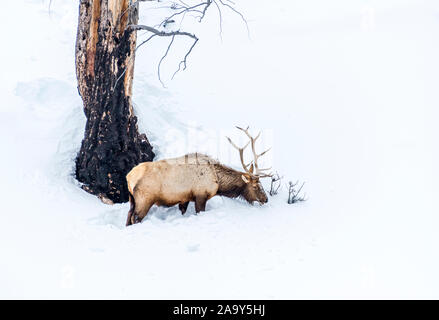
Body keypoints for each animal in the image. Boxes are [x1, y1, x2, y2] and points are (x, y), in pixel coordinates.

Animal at [125, 125, 274, 225]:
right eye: (255, 186)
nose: (266, 199)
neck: (218, 182)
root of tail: (129, 177)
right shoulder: (201, 195)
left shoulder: (184, 198)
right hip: (144, 199)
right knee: (135, 218)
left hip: (132, 199)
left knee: (128, 216)